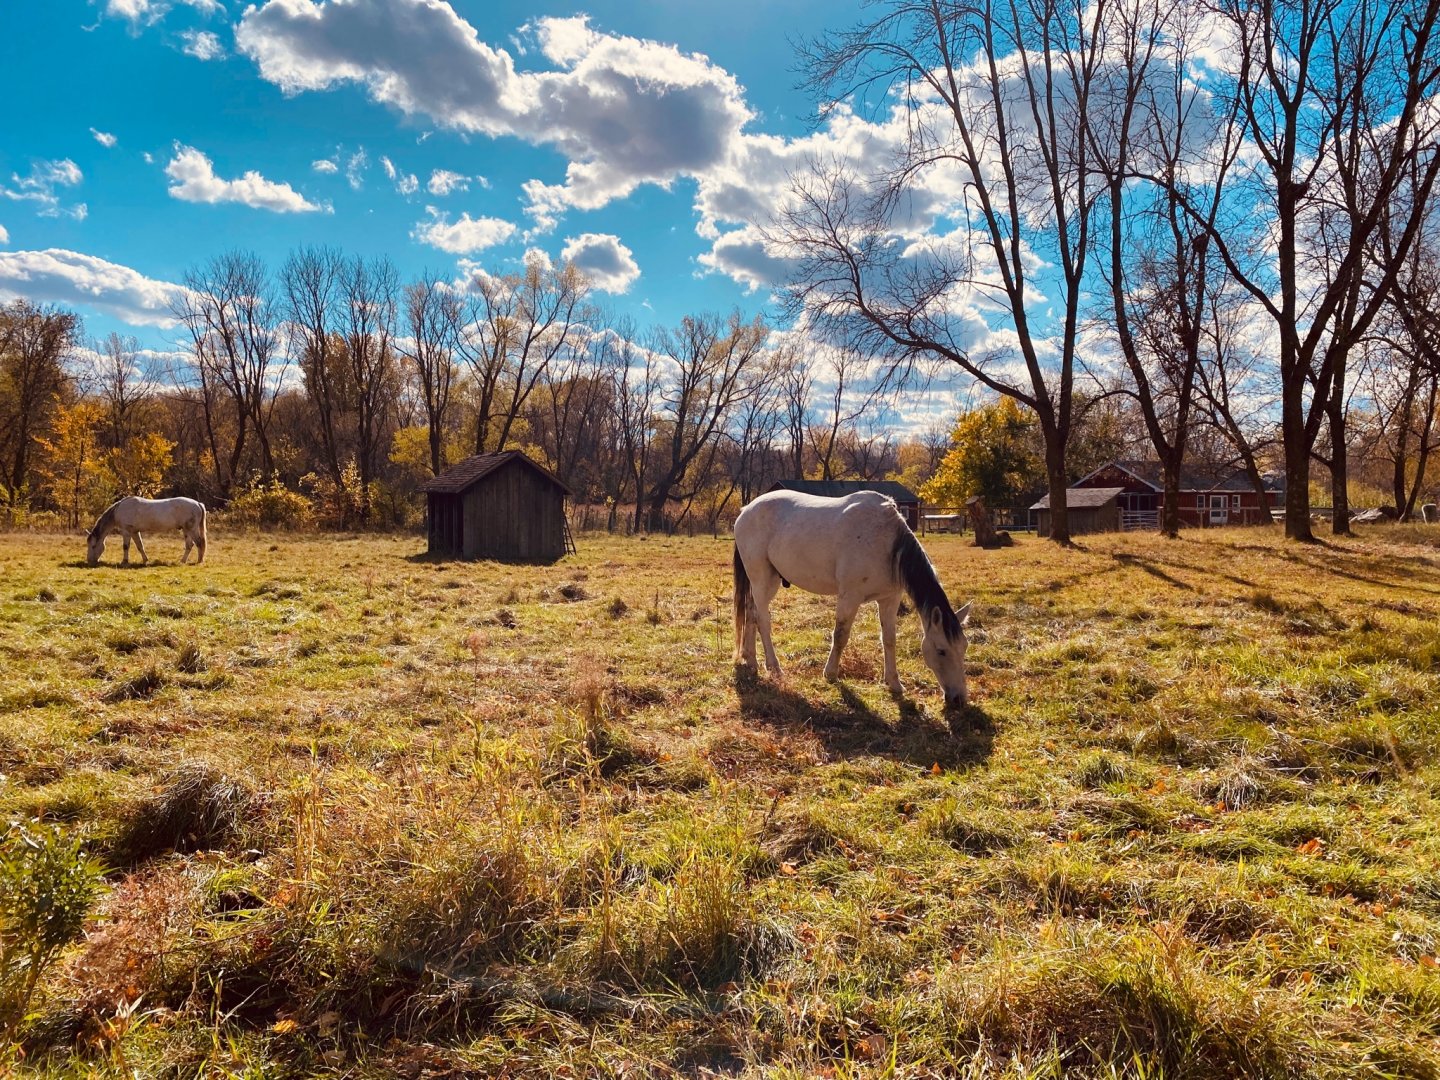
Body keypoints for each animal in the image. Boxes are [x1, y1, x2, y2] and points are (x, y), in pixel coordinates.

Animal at [733, 489, 972, 708]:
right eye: (941, 651)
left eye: (964, 648)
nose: (959, 699)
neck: (886, 543)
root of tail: (746, 510)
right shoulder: (850, 597)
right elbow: (840, 636)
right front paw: (830, 674)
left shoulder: (889, 600)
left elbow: (889, 640)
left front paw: (894, 683)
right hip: (763, 580)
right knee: (762, 620)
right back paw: (774, 667)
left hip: (764, 582)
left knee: (751, 614)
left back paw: (750, 660)